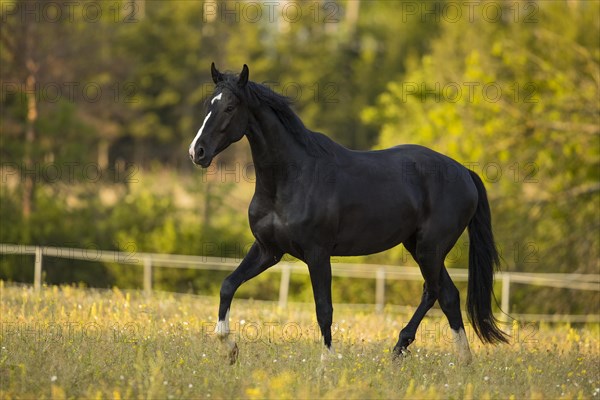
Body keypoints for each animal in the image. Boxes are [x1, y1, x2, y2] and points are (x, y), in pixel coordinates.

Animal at [188, 64, 506, 364]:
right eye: (208, 106)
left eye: (230, 107)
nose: (197, 152)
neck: (290, 179)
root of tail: (463, 172)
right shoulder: (269, 250)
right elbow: (228, 285)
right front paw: (230, 349)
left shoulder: (317, 254)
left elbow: (324, 309)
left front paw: (326, 364)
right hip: (417, 246)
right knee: (446, 295)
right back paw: (443, 358)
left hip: (430, 248)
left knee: (437, 291)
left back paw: (420, 352)